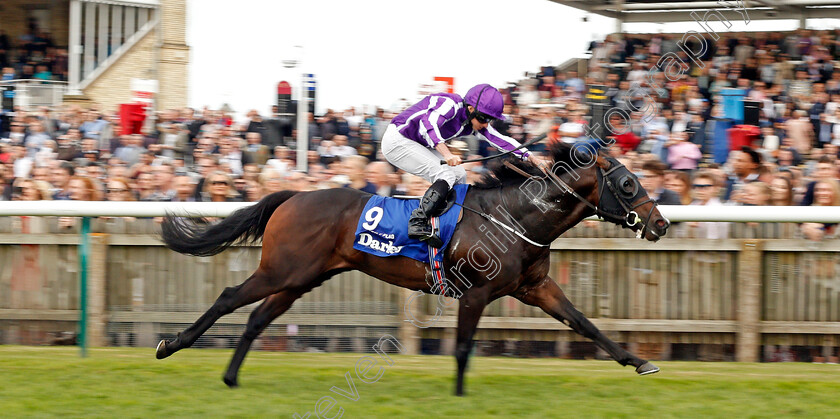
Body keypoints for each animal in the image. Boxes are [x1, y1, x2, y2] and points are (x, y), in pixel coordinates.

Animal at [156, 143, 668, 396]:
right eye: (627, 183)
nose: (661, 223)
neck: (514, 217)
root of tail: (294, 194)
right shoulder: (476, 294)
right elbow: (461, 348)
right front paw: (459, 396)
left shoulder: (535, 287)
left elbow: (585, 324)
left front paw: (639, 361)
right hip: (281, 270)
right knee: (228, 298)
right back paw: (170, 346)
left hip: (302, 278)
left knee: (259, 318)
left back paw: (230, 378)